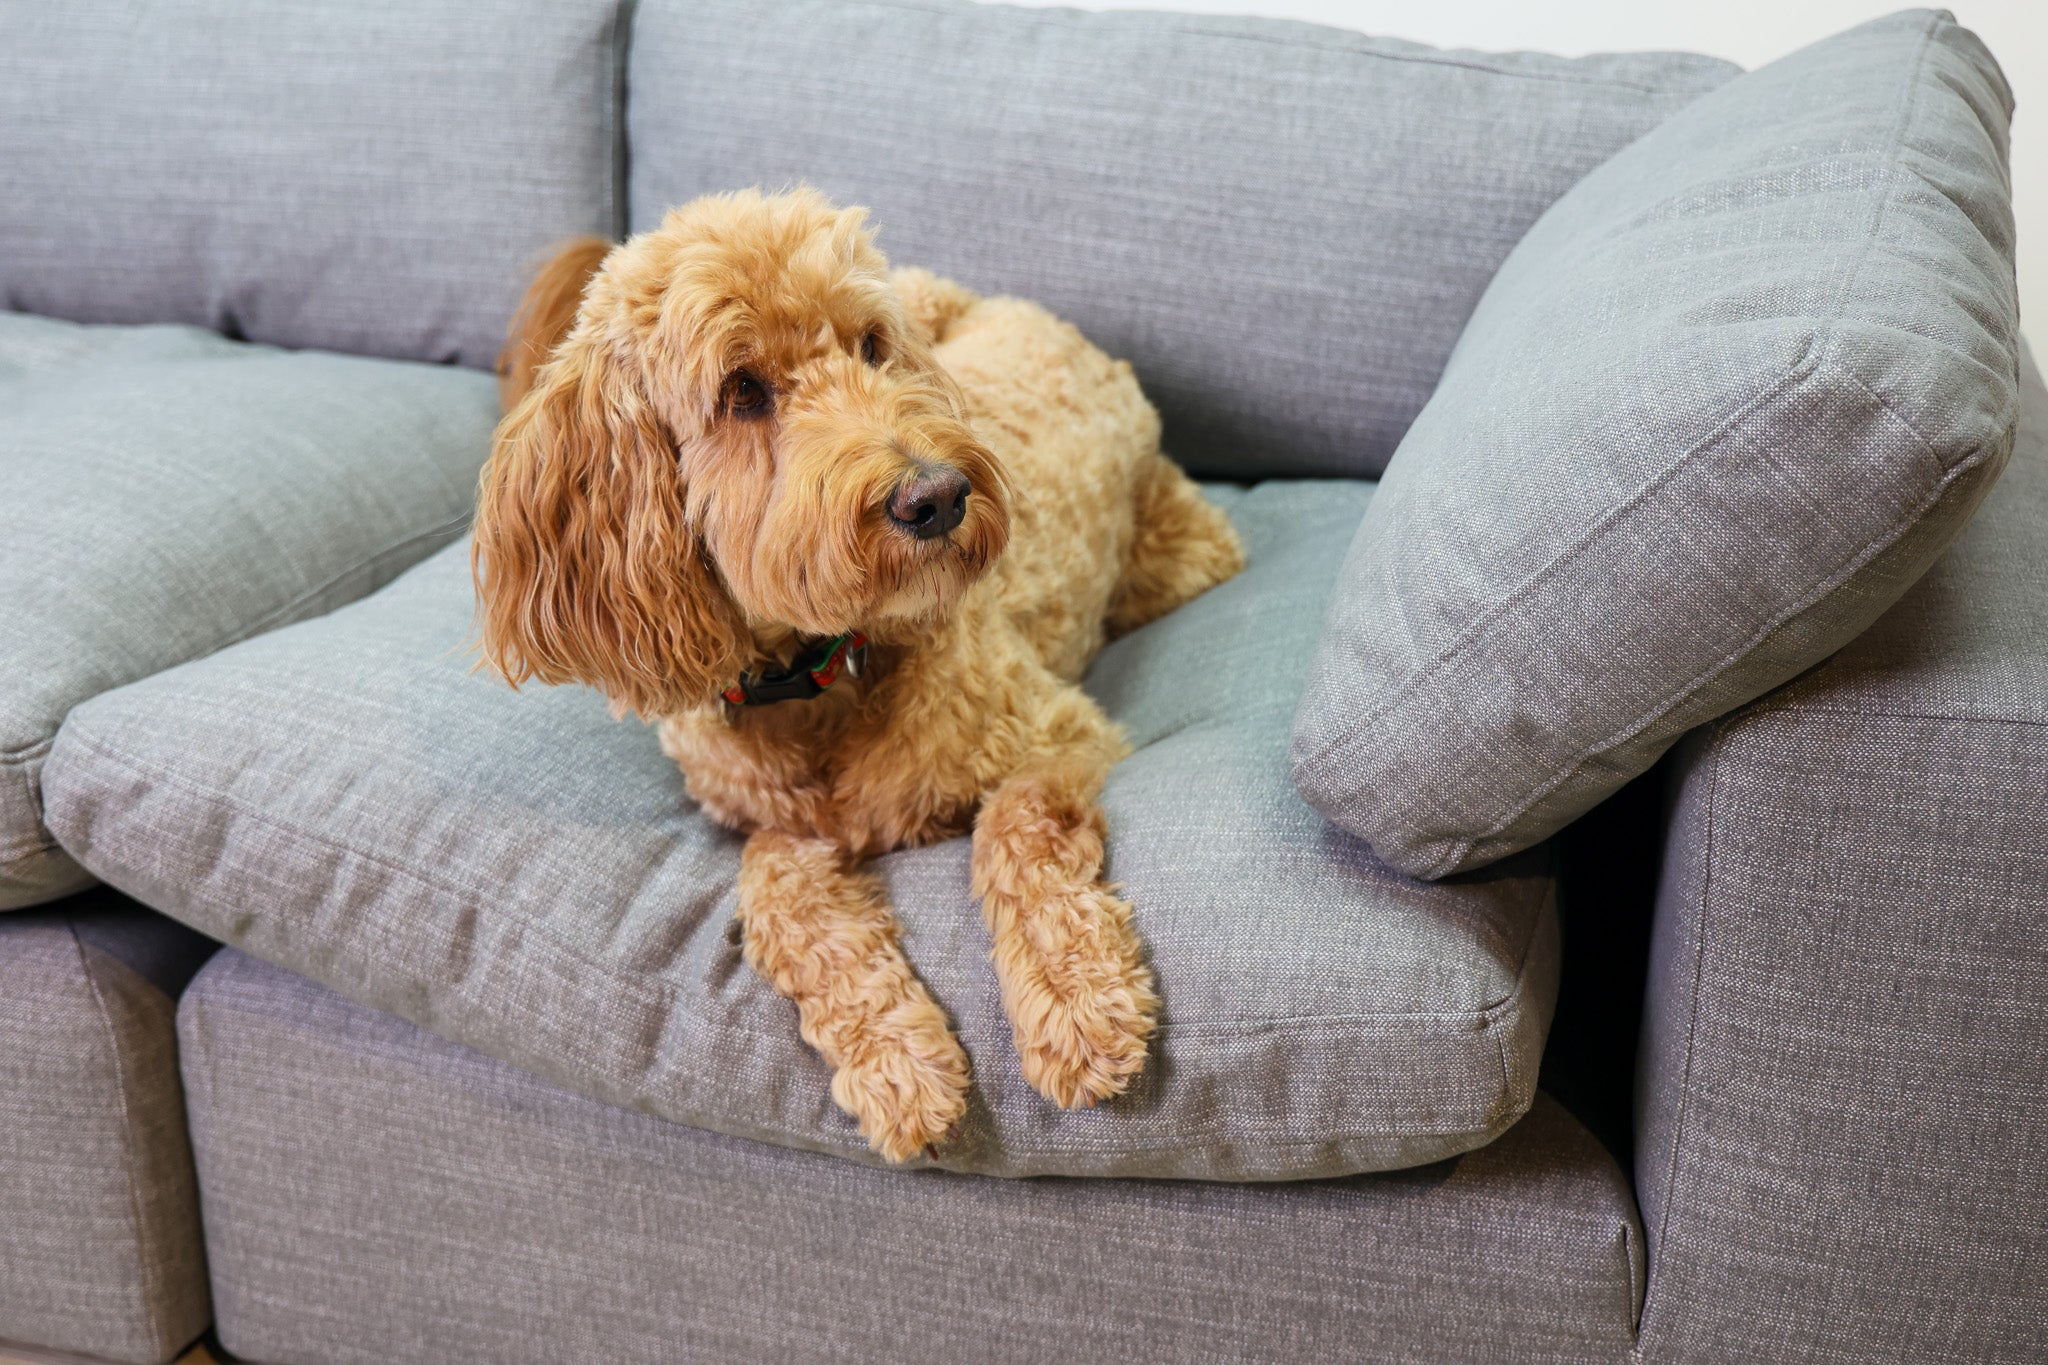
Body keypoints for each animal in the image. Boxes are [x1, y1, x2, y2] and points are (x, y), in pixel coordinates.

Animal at [475, 187, 1245, 1162]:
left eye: (871, 345)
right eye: (742, 390)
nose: (940, 495)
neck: (818, 671)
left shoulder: (1057, 735)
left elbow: (1018, 827)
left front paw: (1077, 1006)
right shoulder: (770, 821)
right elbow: (774, 886)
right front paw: (897, 1061)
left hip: (1175, 558)